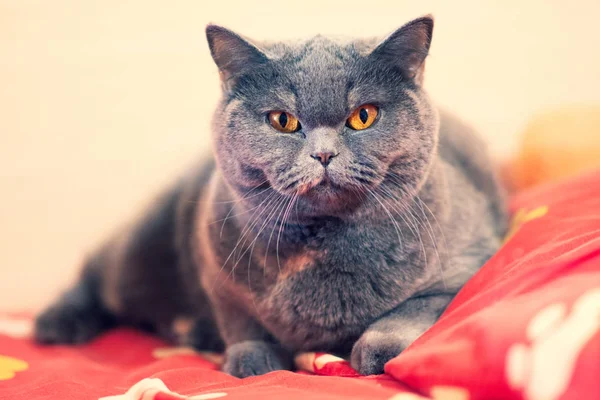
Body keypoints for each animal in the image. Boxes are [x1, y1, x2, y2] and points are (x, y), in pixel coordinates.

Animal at [34, 15, 506, 378]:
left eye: (363, 116)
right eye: (282, 120)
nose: (324, 154)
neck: (320, 248)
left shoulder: (463, 268)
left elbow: (410, 311)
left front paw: (378, 350)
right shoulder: (218, 270)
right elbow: (243, 323)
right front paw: (253, 359)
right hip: (138, 252)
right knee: (95, 273)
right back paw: (58, 325)